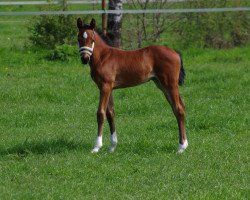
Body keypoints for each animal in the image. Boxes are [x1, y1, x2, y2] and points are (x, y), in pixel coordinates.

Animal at [77, 18, 188, 153]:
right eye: (78, 38)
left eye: (92, 39)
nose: (84, 59)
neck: (103, 57)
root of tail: (175, 52)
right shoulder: (109, 88)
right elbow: (110, 113)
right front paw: (112, 146)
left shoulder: (105, 86)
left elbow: (101, 113)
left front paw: (97, 147)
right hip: (162, 86)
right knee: (178, 108)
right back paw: (184, 144)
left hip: (170, 85)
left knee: (179, 108)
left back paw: (181, 148)